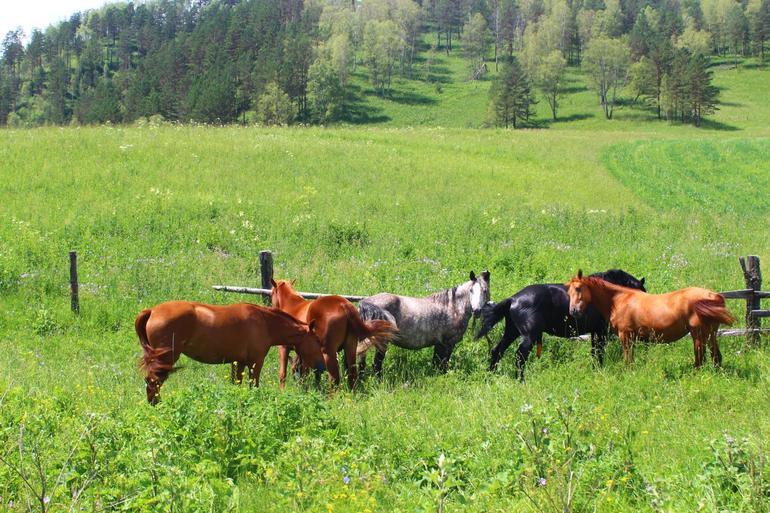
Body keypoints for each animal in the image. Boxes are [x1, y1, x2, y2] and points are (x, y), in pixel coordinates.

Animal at [135, 301, 325, 404]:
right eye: (317, 341)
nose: (322, 367)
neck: (264, 322)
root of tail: (152, 311)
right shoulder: (255, 362)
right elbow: (254, 386)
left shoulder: (238, 363)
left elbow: (237, 385)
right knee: (153, 383)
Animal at [356, 270, 491, 375]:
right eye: (471, 290)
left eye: (484, 291)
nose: (477, 311)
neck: (453, 307)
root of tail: (366, 302)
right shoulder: (448, 344)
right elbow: (443, 364)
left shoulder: (439, 344)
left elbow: (436, 363)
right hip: (382, 341)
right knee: (376, 364)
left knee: (362, 363)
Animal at [475, 269, 646, 379]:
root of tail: (513, 299)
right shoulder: (600, 331)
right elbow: (598, 353)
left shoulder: (595, 332)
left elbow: (594, 353)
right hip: (529, 335)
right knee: (519, 356)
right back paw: (520, 380)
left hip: (512, 332)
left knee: (497, 351)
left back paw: (490, 376)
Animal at [566, 270, 735, 367]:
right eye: (568, 292)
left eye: (578, 288)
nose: (573, 311)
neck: (619, 299)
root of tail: (713, 296)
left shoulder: (625, 336)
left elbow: (628, 360)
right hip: (710, 333)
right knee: (716, 357)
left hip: (698, 334)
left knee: (701, 360)